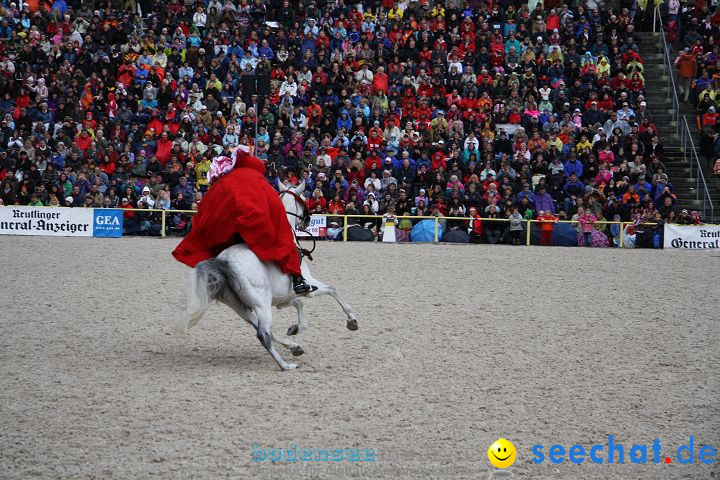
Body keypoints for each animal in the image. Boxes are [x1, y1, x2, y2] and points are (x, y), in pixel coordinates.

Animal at [176, 178, 358, 370]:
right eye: (303, 198)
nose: (308, 220)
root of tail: (225, 262)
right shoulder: (309, 286)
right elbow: (332, 289)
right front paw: (352, 320)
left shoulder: (282, 299)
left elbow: (299, 303)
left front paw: (295, 329)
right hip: (261, 303)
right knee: (263, 334)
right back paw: (286, 366)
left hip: (241, 307)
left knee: (264, 330)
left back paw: (294, 347)